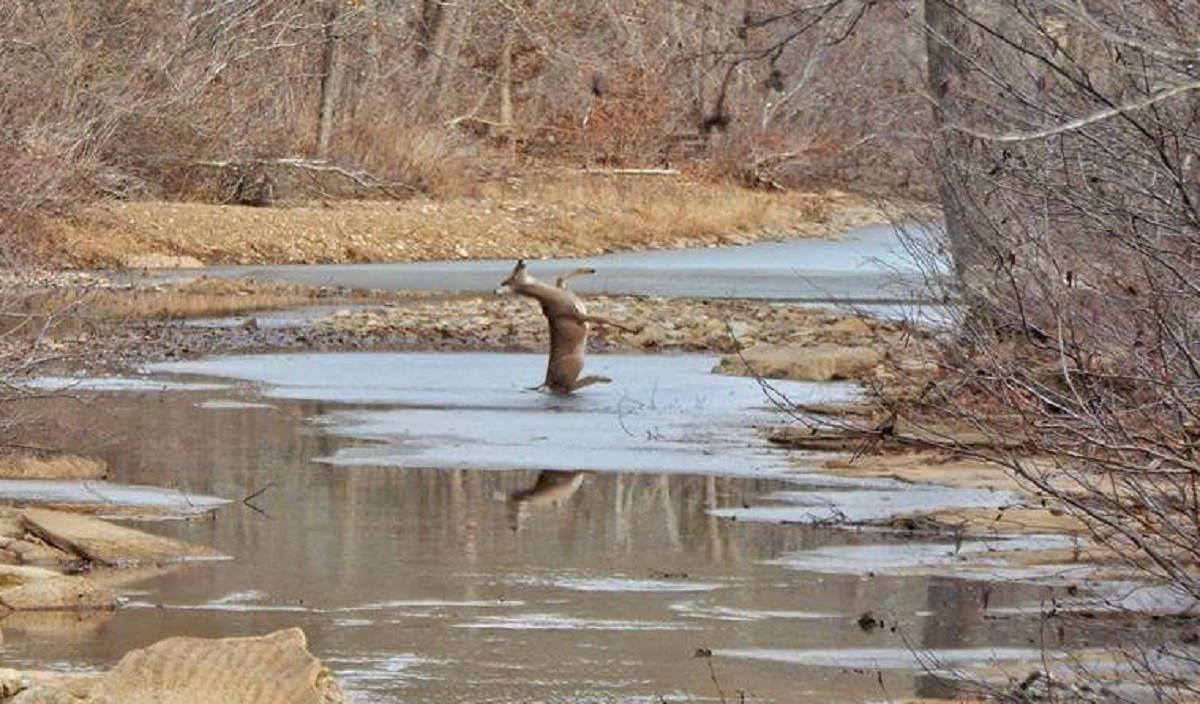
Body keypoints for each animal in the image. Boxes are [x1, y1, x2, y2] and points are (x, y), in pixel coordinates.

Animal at [494, 259, 643, 393]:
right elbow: (605, 319)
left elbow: (561, 277)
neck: (552, 295)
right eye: (508, 280)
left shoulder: (564, 290)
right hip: (575, 364)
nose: (521, 260)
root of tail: (546, 382)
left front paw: (590, 269)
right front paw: (633, 329)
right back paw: (604, 378)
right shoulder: (577, 316)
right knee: (568, 387)